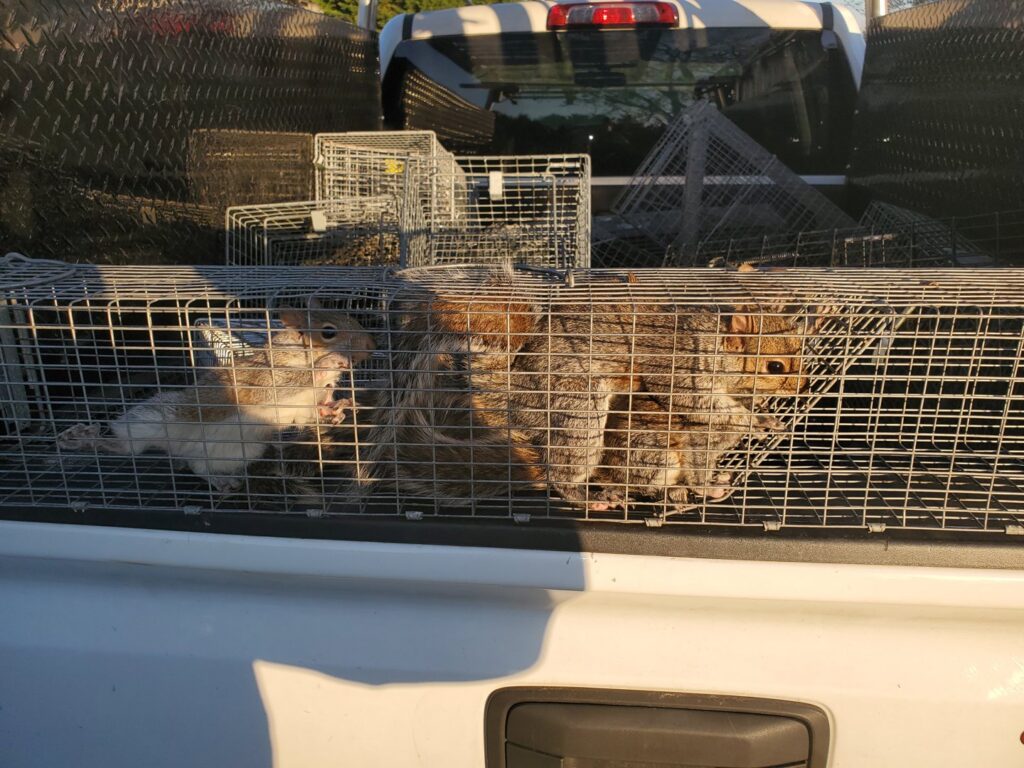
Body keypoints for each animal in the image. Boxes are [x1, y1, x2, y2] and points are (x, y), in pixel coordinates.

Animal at [57, 301, 375, 494]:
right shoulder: (262, 379)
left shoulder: (305, 409)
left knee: (199, 467)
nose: (371, 346)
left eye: (352, 318)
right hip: (155, 416)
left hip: (239, 452)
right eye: (328, 332)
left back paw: (220, 479)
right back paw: (84, 438)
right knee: (128, 446)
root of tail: (180, 448)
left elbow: (315, 412)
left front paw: (338, 407)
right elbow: (284, 385)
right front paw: (327, 364)